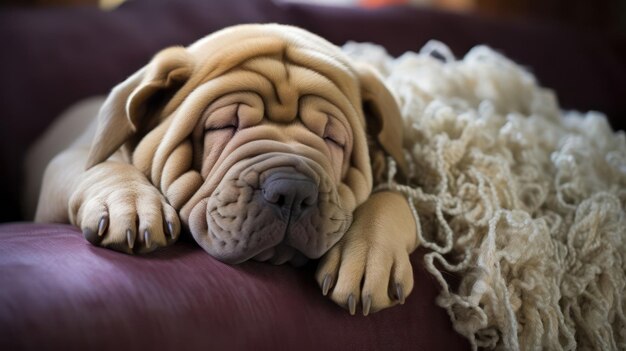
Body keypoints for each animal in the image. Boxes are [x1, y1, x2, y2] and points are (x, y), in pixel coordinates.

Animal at [31, 24, 416, 316]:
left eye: (332, 138)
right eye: (223, 126)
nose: (293, 191)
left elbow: (391, 197)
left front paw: (368, 257)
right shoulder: (70, 163)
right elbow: (102, 166)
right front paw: (131, 205)